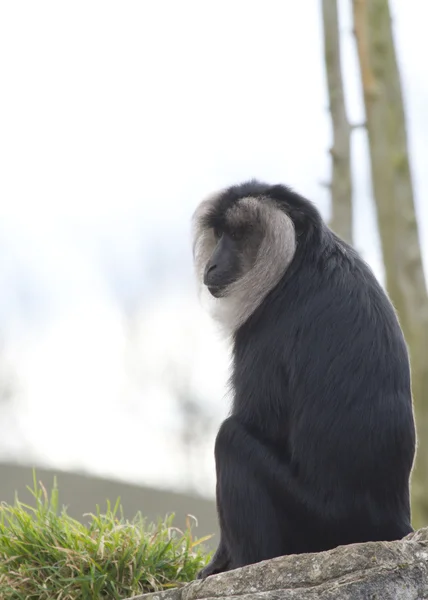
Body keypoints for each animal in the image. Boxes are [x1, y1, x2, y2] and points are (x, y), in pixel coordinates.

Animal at [192, 179, 416, 580]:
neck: (297, 261)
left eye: (239, 235)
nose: (213, 264)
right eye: (219, 234)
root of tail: (390, 526)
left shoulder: (265, 328)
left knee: (231, 439)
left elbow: (256, 421)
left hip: (319, 520)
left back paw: (249, 563)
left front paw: (218, 564)